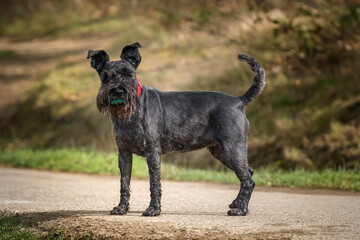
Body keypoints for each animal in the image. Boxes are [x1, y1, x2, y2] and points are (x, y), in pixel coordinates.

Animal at [87, 42, 266, 217]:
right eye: (105, 76)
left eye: (128, 74)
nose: (118, 91)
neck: (132, 112)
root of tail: (239, 101)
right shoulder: (124, 154)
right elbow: (124, 183)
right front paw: (121, 208)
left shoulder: (152, 152)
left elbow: (154, 183)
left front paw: (153, 209)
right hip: (221, 151)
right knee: (248, 172)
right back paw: (238, 204)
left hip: (232, 148)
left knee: (248, 180)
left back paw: (241, 210)